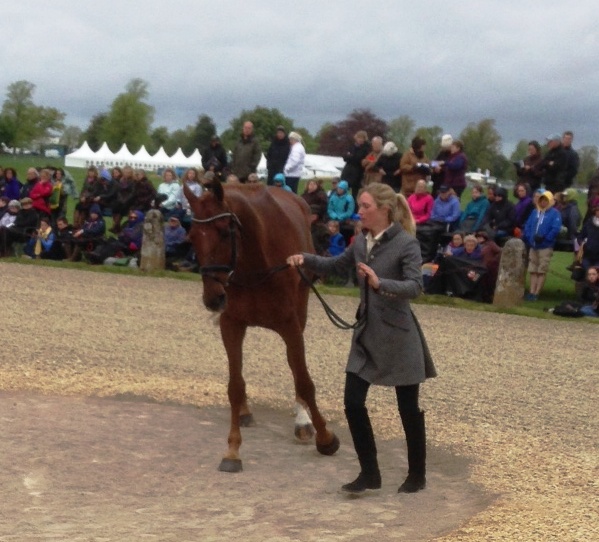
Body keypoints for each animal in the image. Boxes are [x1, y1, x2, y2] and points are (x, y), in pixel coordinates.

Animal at [183, 181, 342, 474]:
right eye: (192, 236)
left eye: (224, 232)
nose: (213, 298)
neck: (254, 263)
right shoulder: (231, 325)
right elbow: (235, 386)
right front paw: (233, 450)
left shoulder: (291, 326)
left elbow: (303, 380)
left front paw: (325, 437)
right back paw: (245, 413)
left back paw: (303, 420)